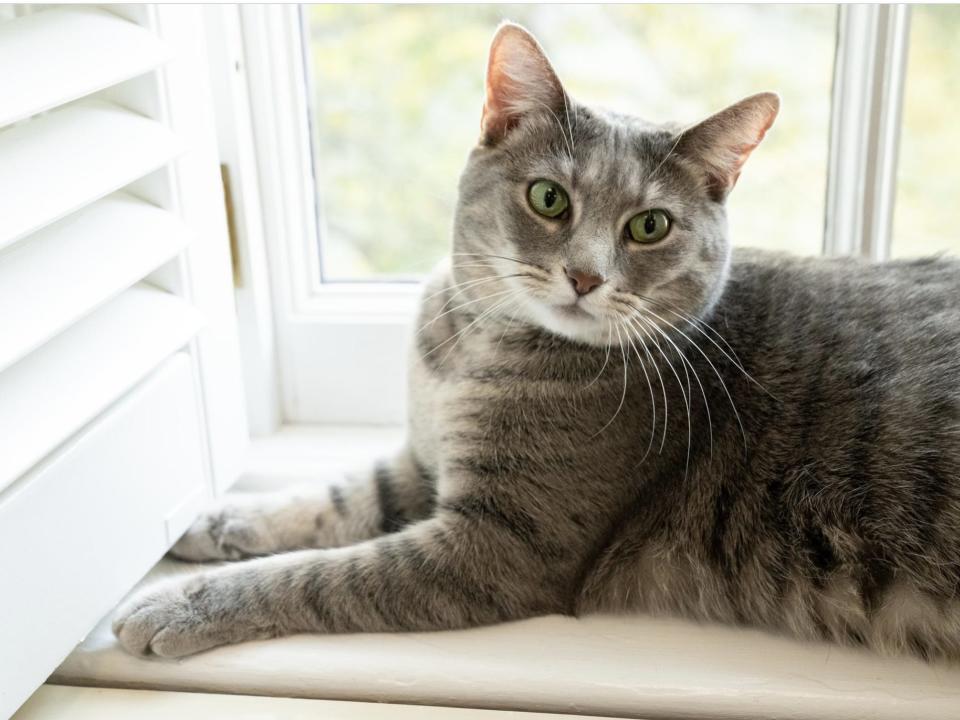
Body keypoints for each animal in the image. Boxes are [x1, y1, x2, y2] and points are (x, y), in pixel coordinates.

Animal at [114, 23, 960, 664]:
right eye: (549, 198)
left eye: (649, 225)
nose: (585, 275)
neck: (471, 347)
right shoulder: (423, 463)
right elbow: (332, 501)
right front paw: (214, 521)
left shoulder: (495, 545)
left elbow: (320, 576)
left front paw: (182, 602)